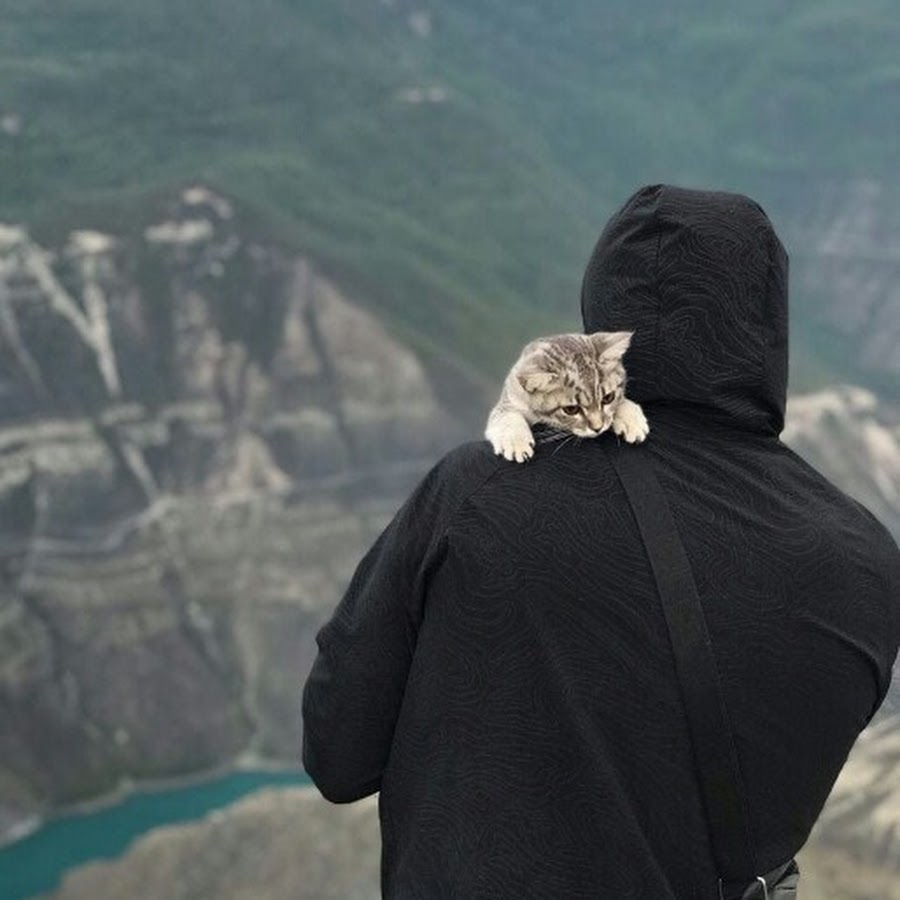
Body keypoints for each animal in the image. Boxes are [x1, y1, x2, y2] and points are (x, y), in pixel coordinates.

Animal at [486, 328, 648, 460]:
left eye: (608, 398)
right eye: (571, 409)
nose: (598, 428)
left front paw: (631, 418)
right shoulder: (508, 400)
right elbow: (507, 416)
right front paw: (516, 442)